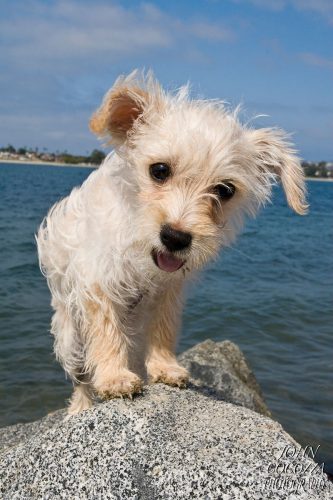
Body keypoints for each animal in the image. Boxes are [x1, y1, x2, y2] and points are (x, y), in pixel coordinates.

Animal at [37, 70, 306, 414]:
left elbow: (163, 328)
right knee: (81, 378)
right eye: (160, 170)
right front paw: (114, 377)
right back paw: (81, 407)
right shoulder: (98, 279)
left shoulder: (168, 290)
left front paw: (163, 366)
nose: (175, 237)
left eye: (225, 190)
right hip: (70, 339)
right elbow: (107, 329)